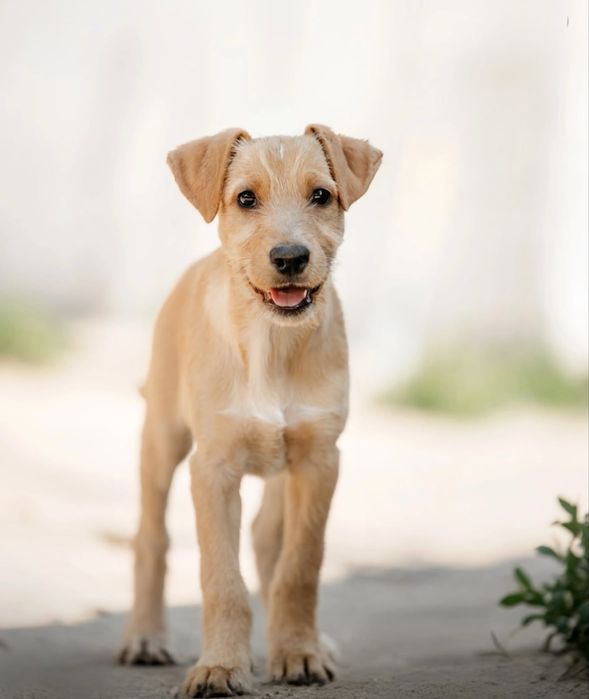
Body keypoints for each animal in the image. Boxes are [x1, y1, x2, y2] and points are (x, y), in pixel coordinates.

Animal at [117, 124, 382, 697]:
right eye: (245, 199)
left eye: (321, 195)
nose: (290, 258)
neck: (271, 345)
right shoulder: (212, 468)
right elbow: (222, 578)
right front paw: (219, 667)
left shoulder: (319, 460)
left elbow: (300, 566)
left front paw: (299, 652)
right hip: (162, 438)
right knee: (151, 537)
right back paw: (145, 637)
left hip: (284, 467)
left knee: (267, 538)